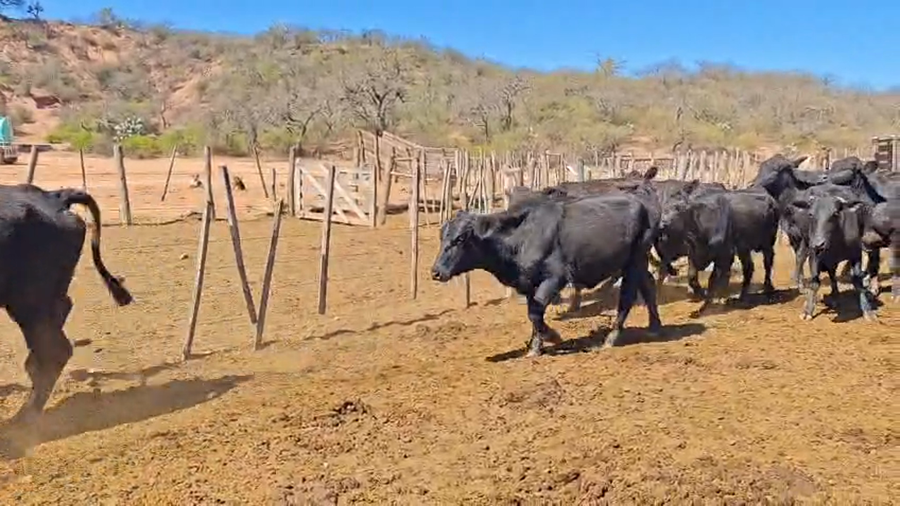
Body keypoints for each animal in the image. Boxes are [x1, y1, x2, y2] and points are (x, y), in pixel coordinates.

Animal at [431, 192, 662, 357]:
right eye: (442, 237)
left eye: (460, 239)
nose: (436, 272)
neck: (522, 237)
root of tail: (645, 205)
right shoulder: (528, 285)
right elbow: (534, 312)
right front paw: (534, 347)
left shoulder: (555, 279)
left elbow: (535, 313)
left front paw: (552, 337)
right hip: (636, 263)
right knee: (649, 284)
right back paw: (654, 326)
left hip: (634, 261)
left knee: (627, 297)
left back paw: (610, 339)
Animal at [793, 192, 878, 321]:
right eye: (811, 214)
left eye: (835, 213)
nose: (818, 244)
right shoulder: (814, 255)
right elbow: (814, 283)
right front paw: (808, 311)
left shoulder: (856, 255)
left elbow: (857, 281)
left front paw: (867, 311)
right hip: (805, 243)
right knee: (800, 257)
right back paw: (801, 287)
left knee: (832, 273)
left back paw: (835, 296)